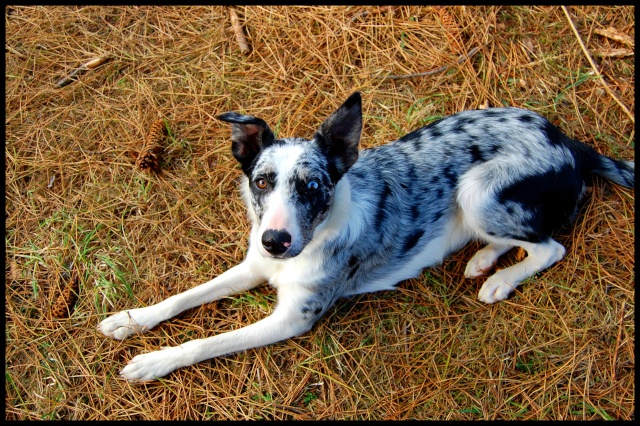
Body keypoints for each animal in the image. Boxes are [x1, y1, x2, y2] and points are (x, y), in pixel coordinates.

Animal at [97, 91, 632, 382]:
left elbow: (207, 342)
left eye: (313, 186)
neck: (309, 240)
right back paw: (483, 259)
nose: (276, 241)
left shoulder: (292, 318)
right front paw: (132, 320)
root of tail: (568, 141)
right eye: (262, 182)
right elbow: (184, 297)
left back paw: (500, 279)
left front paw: (155, 360)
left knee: (550, 246)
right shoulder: (253, 265)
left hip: (477, 189)